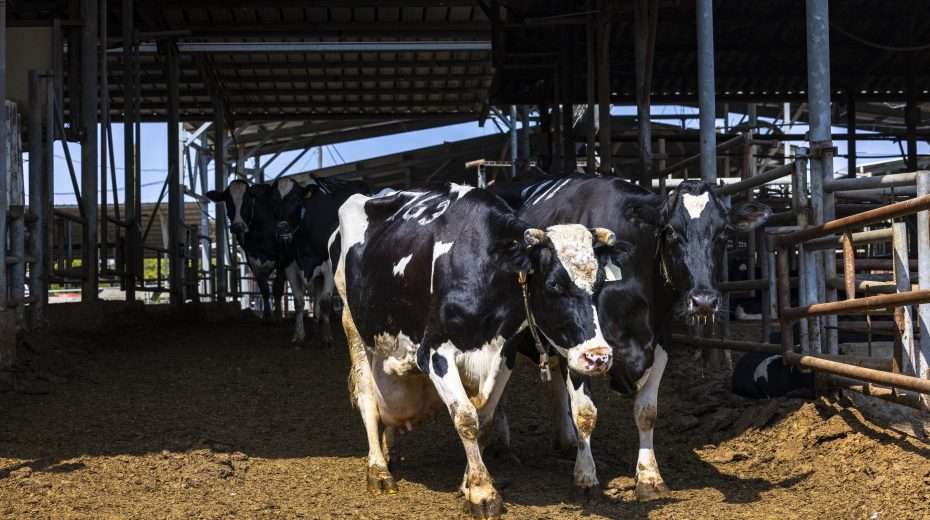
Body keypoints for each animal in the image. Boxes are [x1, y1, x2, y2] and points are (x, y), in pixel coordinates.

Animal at [333, 183, 623, 518]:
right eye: (553, 285)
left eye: (599, 283)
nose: (598, 356)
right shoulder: (434, 353)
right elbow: (466, 418)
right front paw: (483, 494)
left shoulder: (504, 351)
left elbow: (485, 416)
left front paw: (469, 483)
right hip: (353, 328)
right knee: (368, 398)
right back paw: (378, 469)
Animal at [493, 175, 771, 500]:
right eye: (671, 231)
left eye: (723, 233)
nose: (703, 301)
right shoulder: (580, 343)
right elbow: (585, 413)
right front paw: (585, 477)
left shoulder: (661, 341)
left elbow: (646, 412)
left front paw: (649, 476)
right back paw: (501, 445)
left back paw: (566, 442)